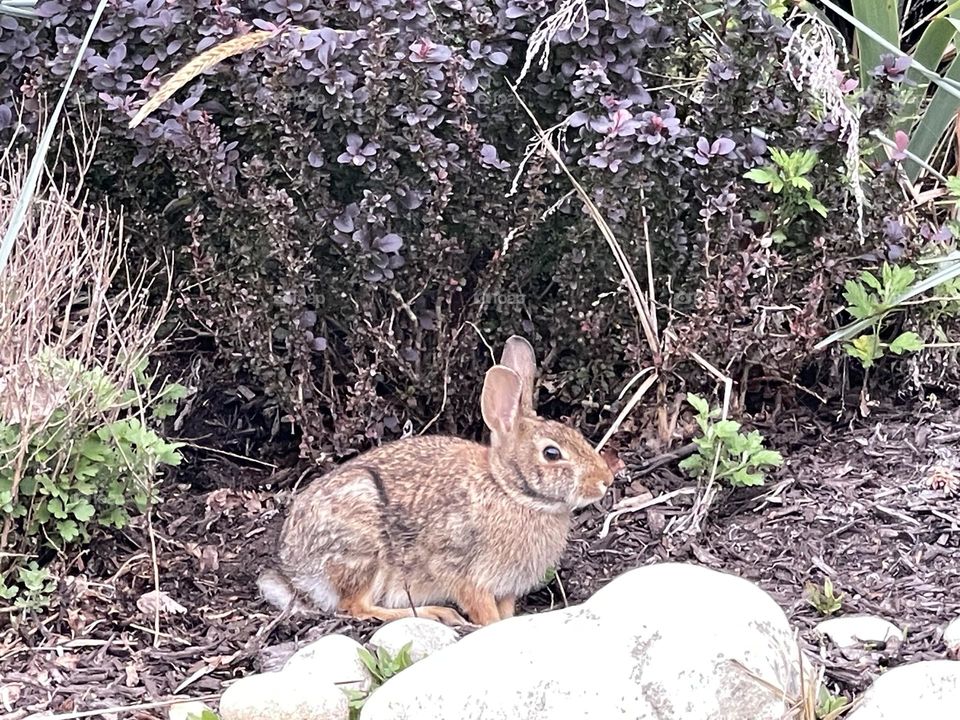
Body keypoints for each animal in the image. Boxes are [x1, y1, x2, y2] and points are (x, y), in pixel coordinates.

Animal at [257, 335, 615, 626]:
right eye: (552, 453)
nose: (606, 480)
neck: (510, 491)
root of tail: (294, 570)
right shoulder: (462, 570)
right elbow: (482, 608)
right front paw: (489, 625)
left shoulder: (505, 587)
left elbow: (505, 610)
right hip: (364, 549)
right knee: (355, 606)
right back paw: (436, 613)